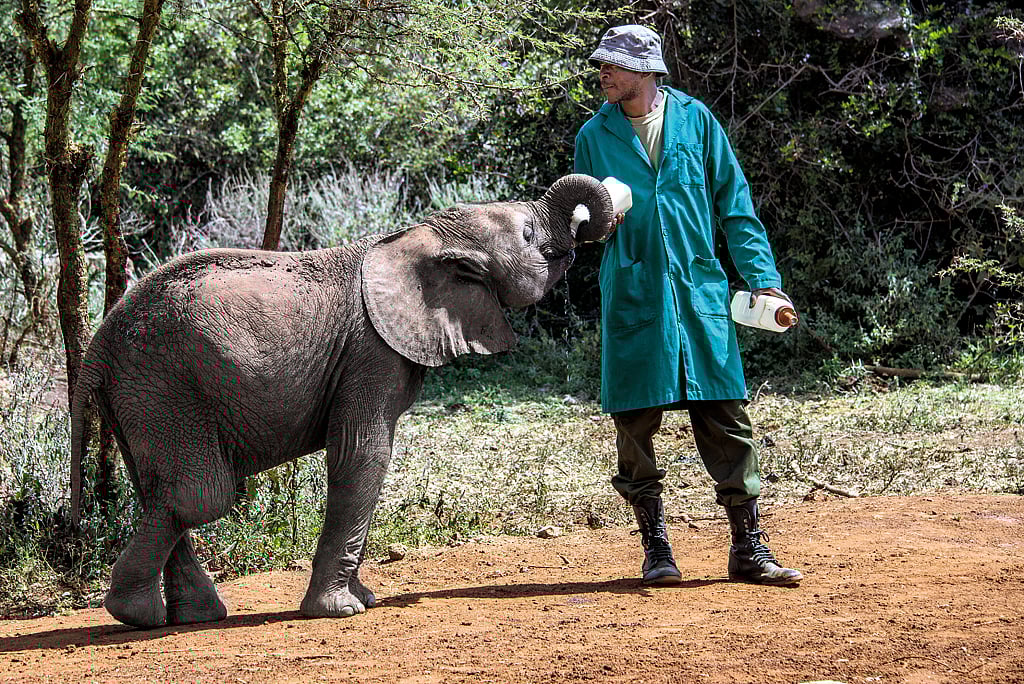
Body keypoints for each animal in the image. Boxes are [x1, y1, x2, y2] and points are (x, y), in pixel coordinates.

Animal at [69, 174, 615, 628]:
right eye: (528, 234)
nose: (587, 224)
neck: (424, 236)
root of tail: (102, 338)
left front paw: (365, 600)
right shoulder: (370, 350)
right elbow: (363, 456)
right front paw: (342, 610)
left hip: (142, 395)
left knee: (159, 492)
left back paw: (185, 617)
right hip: (164, 385)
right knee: (199, 495)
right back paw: (135, 615)